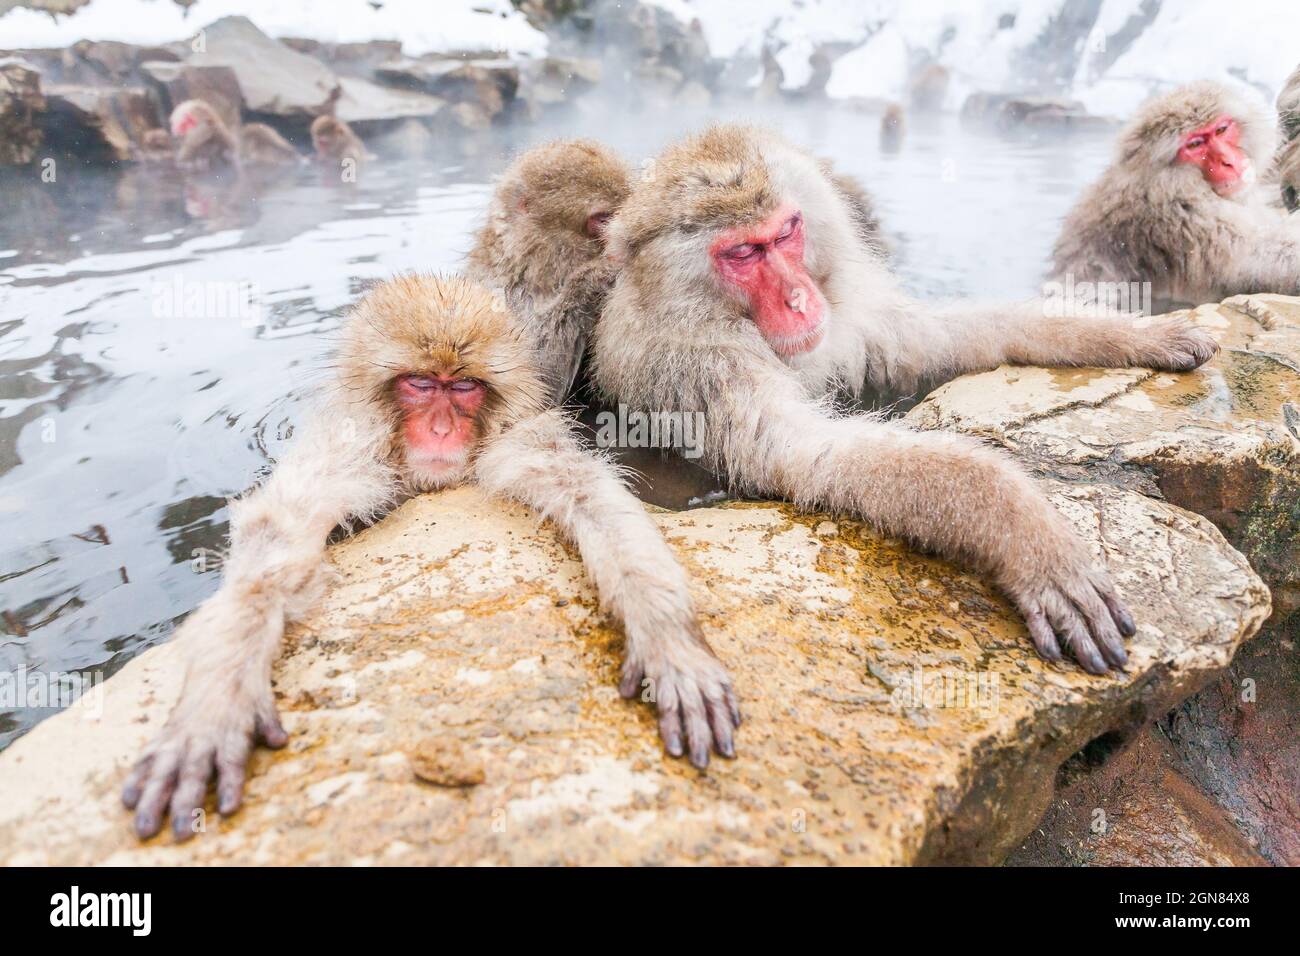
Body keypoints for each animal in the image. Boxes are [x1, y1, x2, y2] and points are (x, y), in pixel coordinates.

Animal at [122, 274, 743, 837]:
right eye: (421, 383)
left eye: (463, 387)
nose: (442, 429)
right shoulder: (349, 452)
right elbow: (277, 543)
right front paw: (214, 700)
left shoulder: (512, 442)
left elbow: (591, 499)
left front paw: (666, 633)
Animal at [590, 127, 1216, 676]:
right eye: (743, 252)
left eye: (786, 232)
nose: (799, 299)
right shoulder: (700, 367)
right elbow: (805, 455)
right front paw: (1024, 532)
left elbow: (929, 340)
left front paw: (1138, 334)